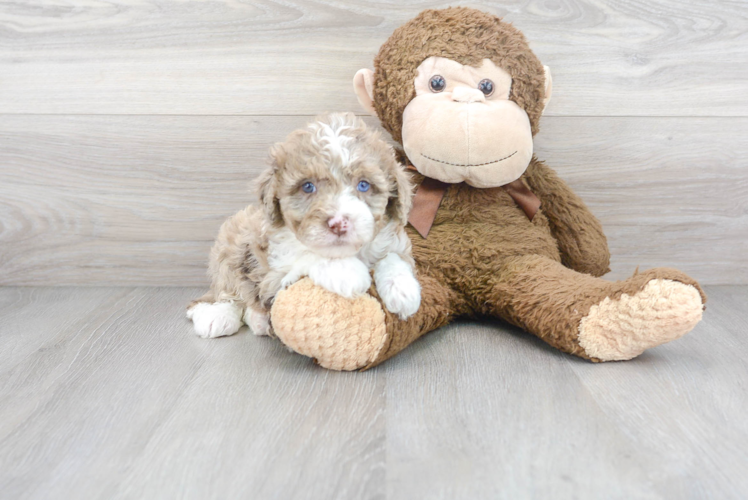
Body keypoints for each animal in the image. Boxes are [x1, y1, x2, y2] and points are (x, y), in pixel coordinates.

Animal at [187, 112, 420, 340]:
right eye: (308, 187)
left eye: (363, 185)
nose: (338, 224)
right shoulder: (272, 269)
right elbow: (307, 254)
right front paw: (347, 272)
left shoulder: (394, 241)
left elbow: (392, 255)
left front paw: (403, 289)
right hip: (231, 244)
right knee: (226, 289)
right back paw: (216, 315)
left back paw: (257, 320)